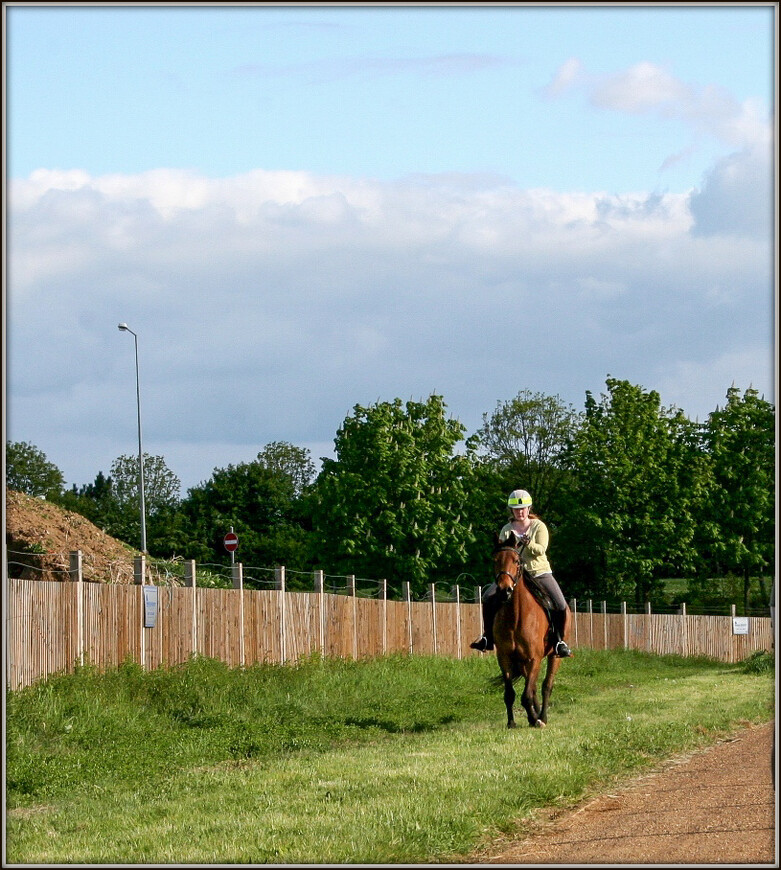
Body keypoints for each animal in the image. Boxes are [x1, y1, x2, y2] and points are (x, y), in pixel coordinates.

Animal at [494, 532, 572, 728]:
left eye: (516, 561)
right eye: (495, 560)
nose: (504, 590)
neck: (516, 616)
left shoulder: (534, 658)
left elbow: (527, 694)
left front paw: (537, 719)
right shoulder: (505, 658)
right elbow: (511, 694)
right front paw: (512, 723)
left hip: (554, 656)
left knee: (546, 685)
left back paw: (541, 717)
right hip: (522, 662)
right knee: (534, 687)